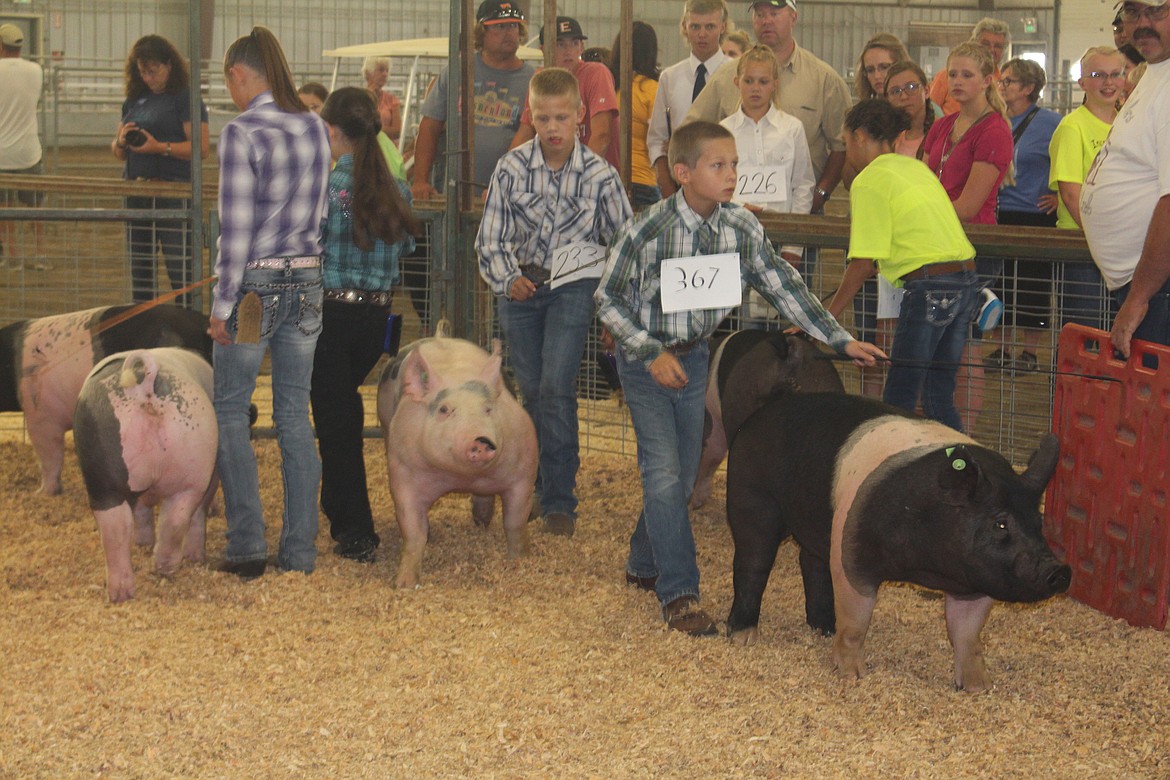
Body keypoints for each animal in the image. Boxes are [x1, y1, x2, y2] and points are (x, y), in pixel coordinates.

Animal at [72, 348, 217, 603]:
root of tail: (144, 385)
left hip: (102, 475)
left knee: (117, 526)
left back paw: (121, 593)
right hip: (192, 465)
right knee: (176, 518)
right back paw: (165, 568)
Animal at [376, 334, 535, 584]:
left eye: (488, 409)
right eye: (444, 409)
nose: (481, 439)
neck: (462, 477)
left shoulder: (524, 474)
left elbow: (515, 522)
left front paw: (520, 561)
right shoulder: (403, 474)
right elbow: (413, 531)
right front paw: (404, 584)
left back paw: (482, 523)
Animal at [725, 392, 1071, 692]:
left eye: (1039, 522)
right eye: (1001, 523)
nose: (1060, 571)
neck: (927, 565)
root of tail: (764, 410)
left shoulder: (975, 583)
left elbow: (968, 636)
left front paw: (980, 688)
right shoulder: (852, 552)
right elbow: (855, 624)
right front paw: (852, 675)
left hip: (818, 523)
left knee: (811, 562)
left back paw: (823, 628)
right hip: (752, 497)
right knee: (752, 564)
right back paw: (742, 636)